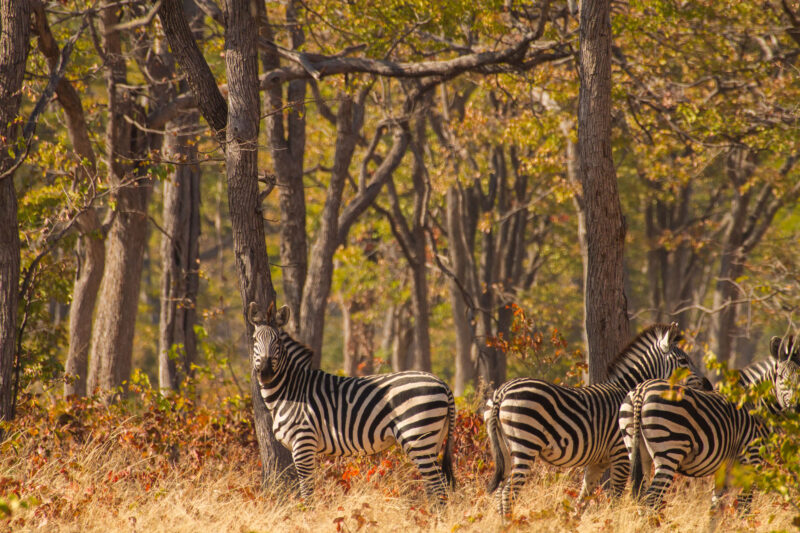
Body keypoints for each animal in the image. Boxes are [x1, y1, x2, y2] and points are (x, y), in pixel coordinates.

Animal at [248, 302, 456, 504]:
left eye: (278, 341)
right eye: (254, 340)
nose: (265, 372)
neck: (291, 389)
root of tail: (442, 383)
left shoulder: (303, 442)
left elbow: (307, 492)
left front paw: (307, 514)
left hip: (417, 433)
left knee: (438, 486)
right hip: (433, 438)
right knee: (434, 486)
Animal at [485, 322, 712, 516]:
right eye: (683, 362)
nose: (709, 385)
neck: (628, 389)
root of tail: (501, 392)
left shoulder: (598, 462)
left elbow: (583, 498)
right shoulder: (621, 454)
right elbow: (616, 498)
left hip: (506, 447)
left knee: (500, 491)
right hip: (525, 443)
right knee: (508, 492)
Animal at [621, 335, 800, 512]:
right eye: (781, 377)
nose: (796, 406)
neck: (757, 406)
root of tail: (641, 391)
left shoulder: (724, 469)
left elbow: (716, 507)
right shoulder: (750, 460)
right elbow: (744, 507)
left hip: (636, 448)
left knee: (641, 497)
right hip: (669, 450)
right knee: (652, 498)